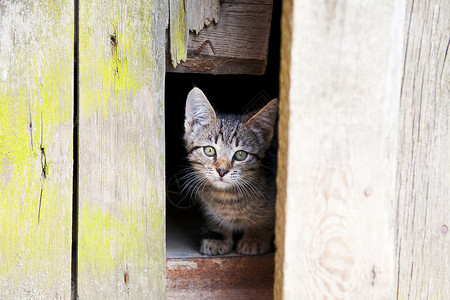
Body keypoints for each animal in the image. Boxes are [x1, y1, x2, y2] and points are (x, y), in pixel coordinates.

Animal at [183, 86, 278, 255]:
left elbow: (266, 220)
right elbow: (215, 219)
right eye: (209, 150)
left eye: (240, 155)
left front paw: (254, 238)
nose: (221, 170)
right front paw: (217, 236)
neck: (226, 197)